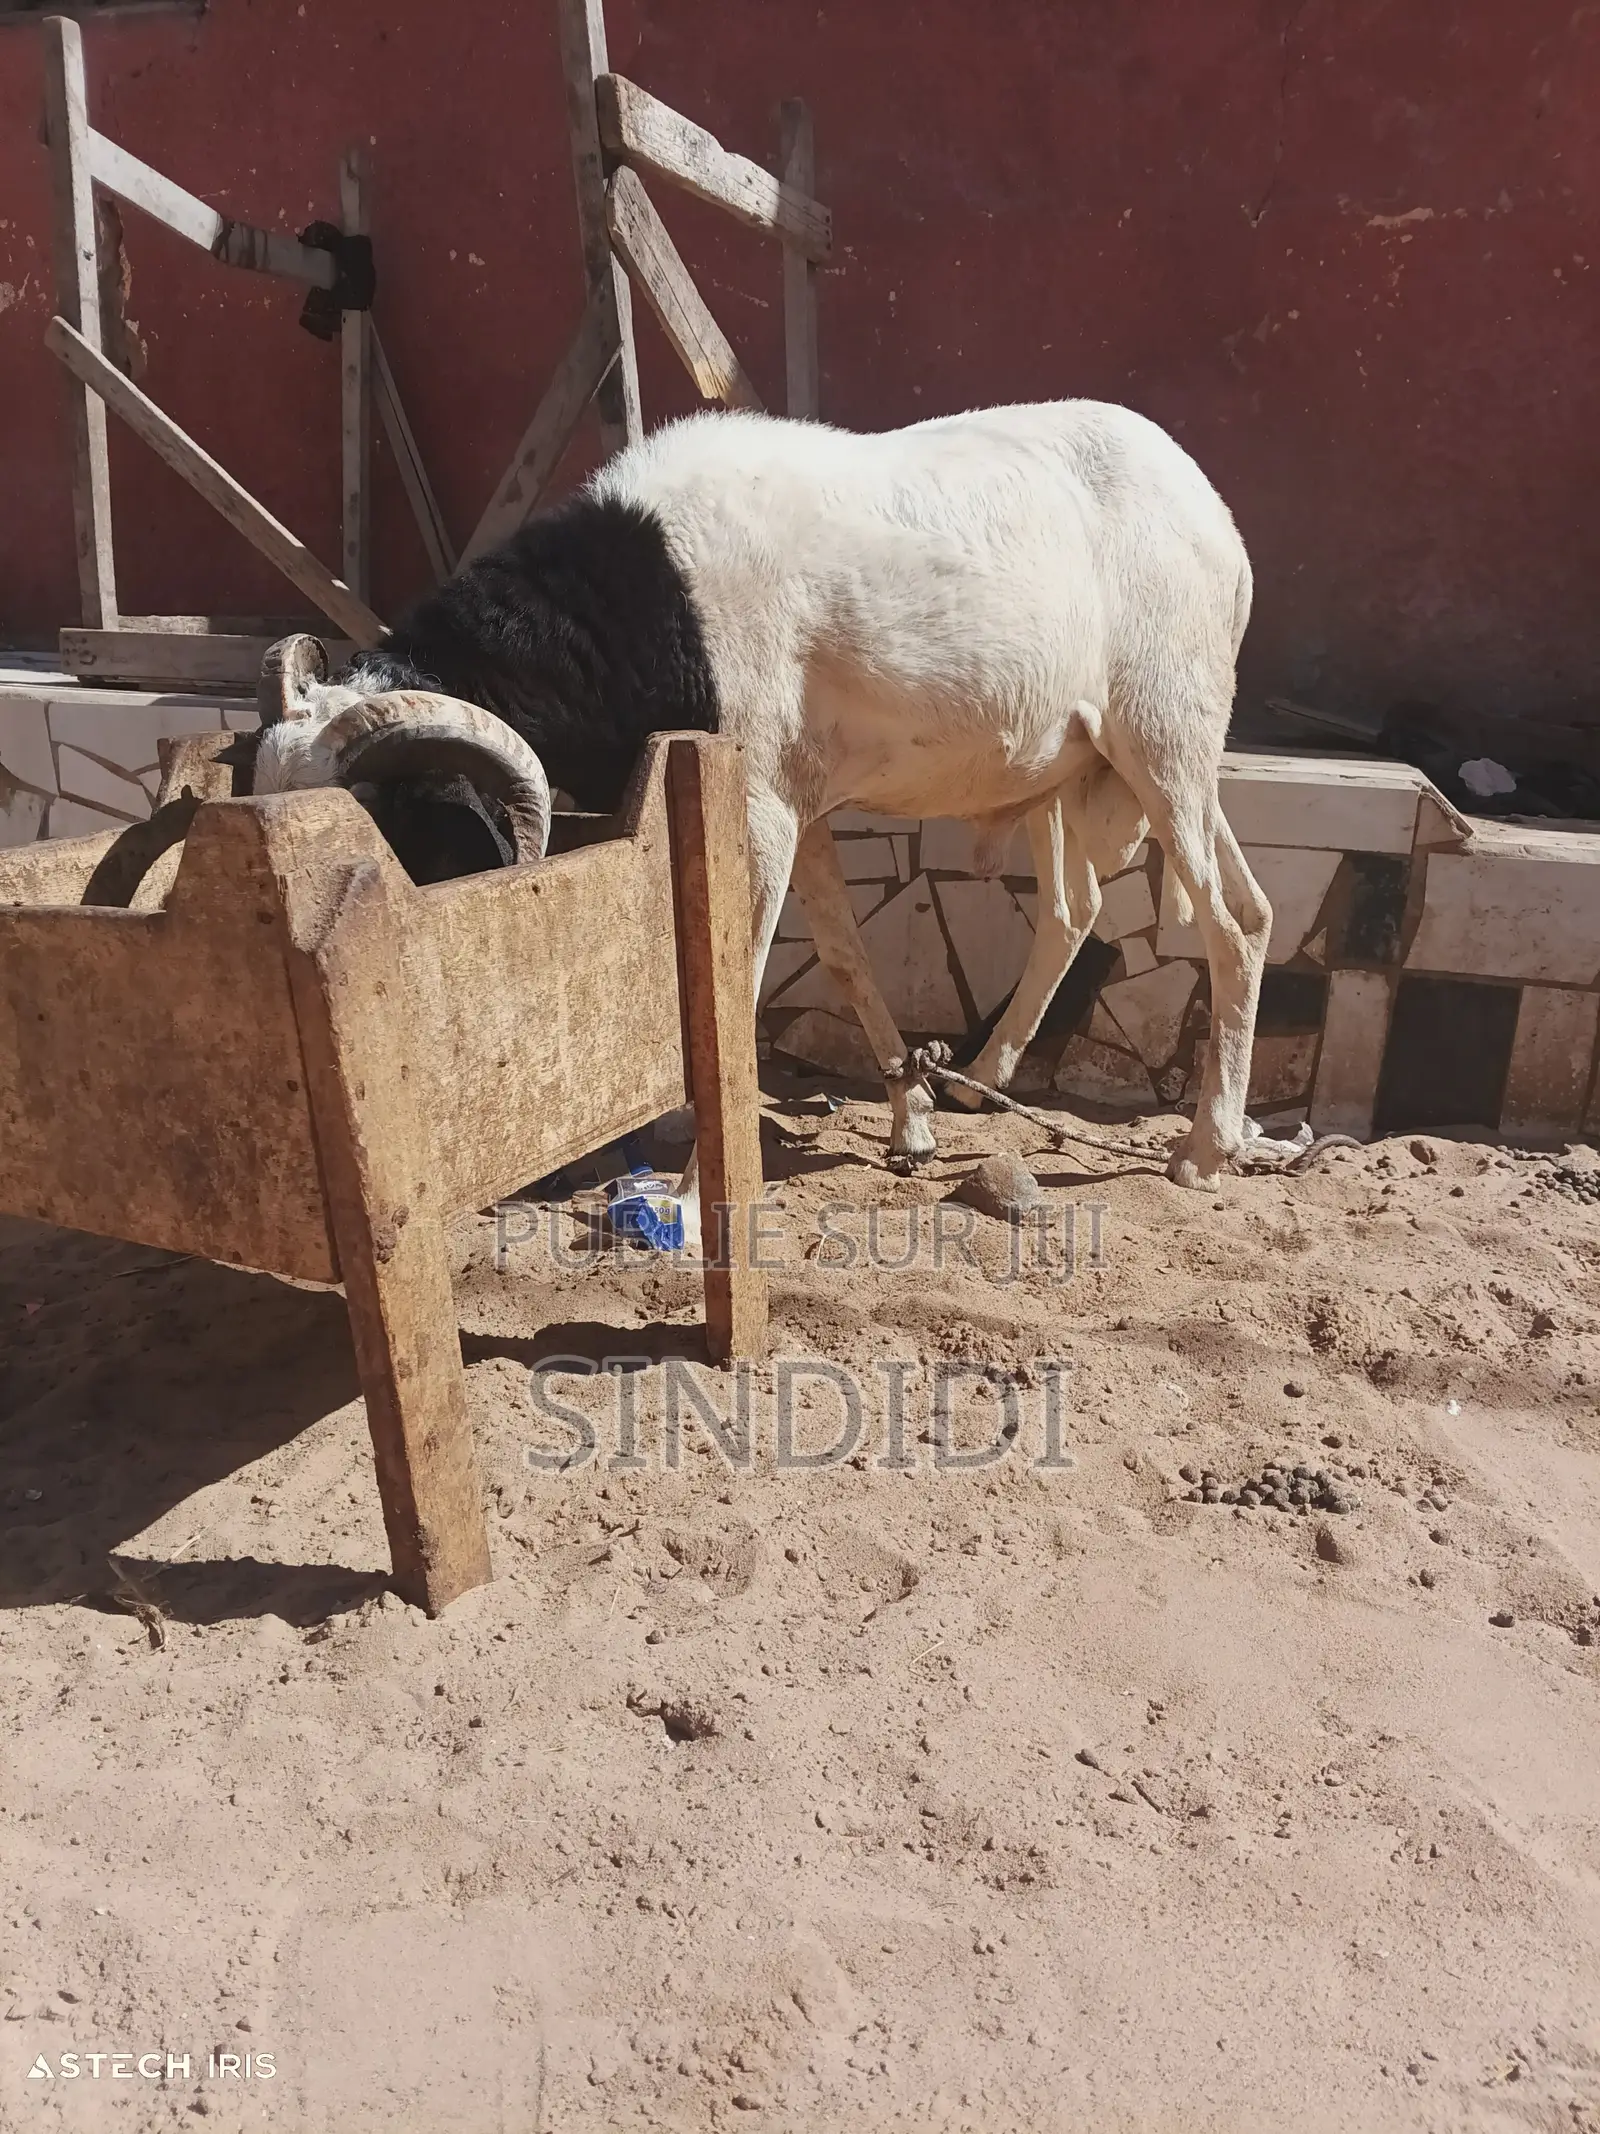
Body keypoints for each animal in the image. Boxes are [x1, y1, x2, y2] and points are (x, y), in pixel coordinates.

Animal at [254, 400, 1271, 1196]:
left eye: (394, 826)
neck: (645, 602)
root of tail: (1219, 521)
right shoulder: (796, 807)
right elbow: (845, 955)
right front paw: (911, 1118)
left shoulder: (761, 811)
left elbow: (735, 982)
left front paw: (694, 1194)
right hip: (1101, 763)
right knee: (1106, 907)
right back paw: (984, 1075)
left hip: (1165, 737)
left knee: (1229, 926)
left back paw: (1206, 1149)